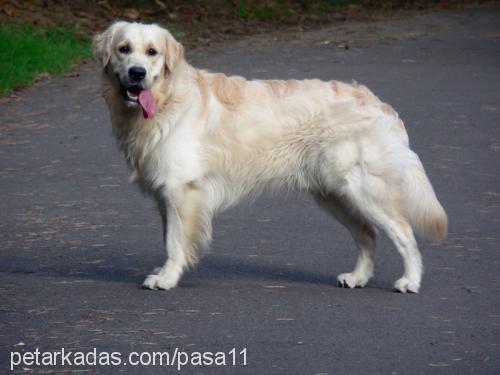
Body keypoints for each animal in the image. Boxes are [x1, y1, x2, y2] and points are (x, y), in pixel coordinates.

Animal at [92, 22, 448, 296]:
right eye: (124, 49)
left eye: (152, 52)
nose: (137, 73)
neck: (166, 101)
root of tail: (377, 102)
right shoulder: (166, 195)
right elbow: (169, 238)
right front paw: (165, 271)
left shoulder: (181, 189)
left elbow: (175, 242)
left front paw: (166, 277)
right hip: (333, 194)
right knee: (367, 234)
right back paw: (357, 277)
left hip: (363, 190)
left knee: (404, 233)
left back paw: (409, 281)